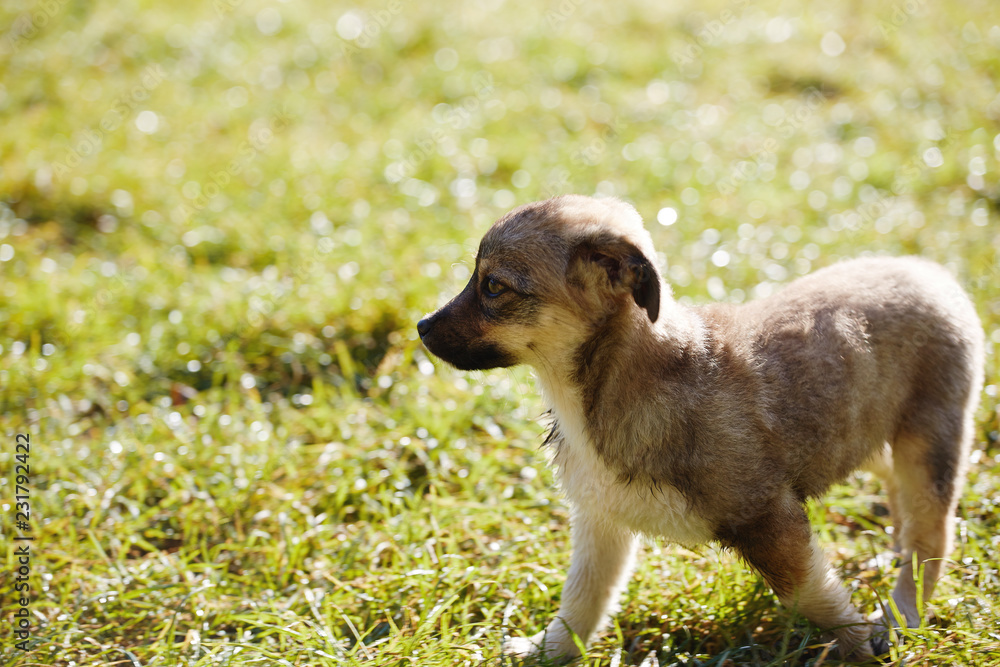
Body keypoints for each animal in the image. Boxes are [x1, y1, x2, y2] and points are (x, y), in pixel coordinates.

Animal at [414, 194, 984, 664]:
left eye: (493, 286)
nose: (419, 328)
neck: (599, 390)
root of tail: (929, 271)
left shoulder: (769, 520)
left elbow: (817, 598)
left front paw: (860, 645)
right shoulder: (601, 518)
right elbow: (582, 601)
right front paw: (544, 652)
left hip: (930, 442)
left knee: (932, 536)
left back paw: (903, 613)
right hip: (876, 431)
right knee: (898, 498)